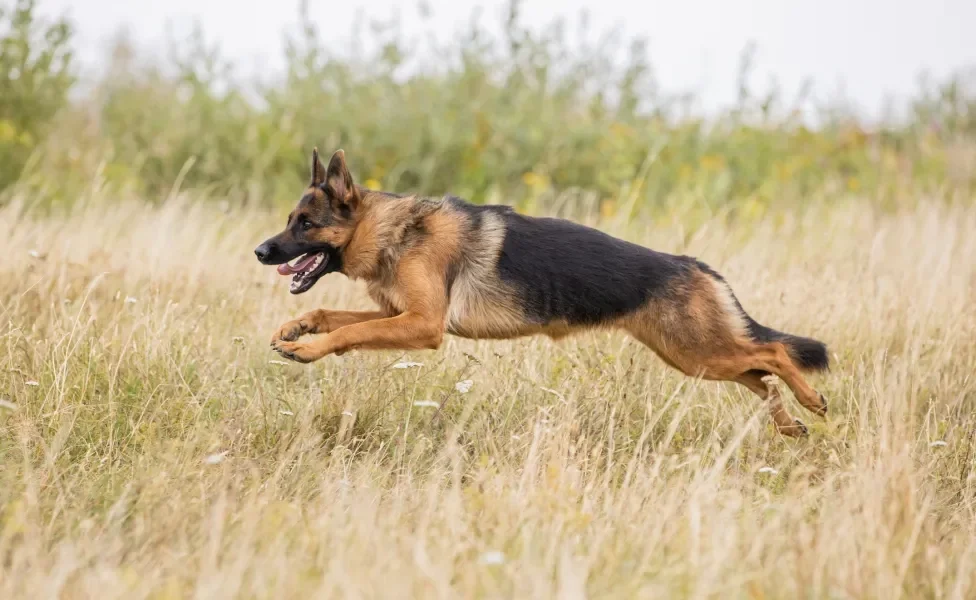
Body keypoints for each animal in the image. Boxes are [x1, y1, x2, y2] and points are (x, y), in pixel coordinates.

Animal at [255, 145, 828, 436]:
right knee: (761, 376)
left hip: (700, 352)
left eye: (306, 224)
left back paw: (812, 400)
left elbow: (347, 333)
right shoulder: (400, 316)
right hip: (696, 358)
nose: (260, 251)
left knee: (774, 354)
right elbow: (332, 315)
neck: (391, 229)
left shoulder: (421, 326)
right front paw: (298, 329)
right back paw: (791, 424)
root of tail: (694, 264)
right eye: (290, 220)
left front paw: (308, 350)